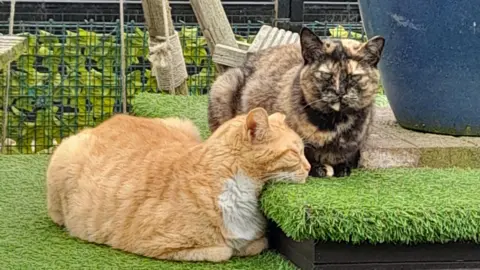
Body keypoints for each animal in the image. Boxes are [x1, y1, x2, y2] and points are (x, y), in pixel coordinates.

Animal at [47, 107, 312, 262]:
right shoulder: (156, 244)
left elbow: (257, 243)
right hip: (63, 156)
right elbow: (224, 250)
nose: (309, 168)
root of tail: (110, 120)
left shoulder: (256, 240)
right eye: (295, 153)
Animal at [208, 26, 384, 177]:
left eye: (355, 77)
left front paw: (342, 166)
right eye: (326, 74)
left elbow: (347, 157)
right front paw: (318, 168)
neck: (334, 125)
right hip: (225, 84)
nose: (340, 92)